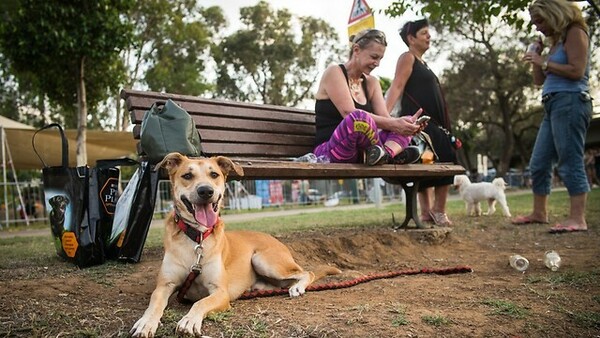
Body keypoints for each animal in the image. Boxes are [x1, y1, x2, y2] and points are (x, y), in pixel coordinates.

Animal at [129, 154, 340, 338]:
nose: (206, 191)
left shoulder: (220, 292)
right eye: (187, 176)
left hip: (264, 260)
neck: (197, 237)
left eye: (214, 174)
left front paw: (189, 320)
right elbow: (154, 304)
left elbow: (200, 303)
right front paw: (146, 323)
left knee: (307, 273)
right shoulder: (164, 286)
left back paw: (297, 288)